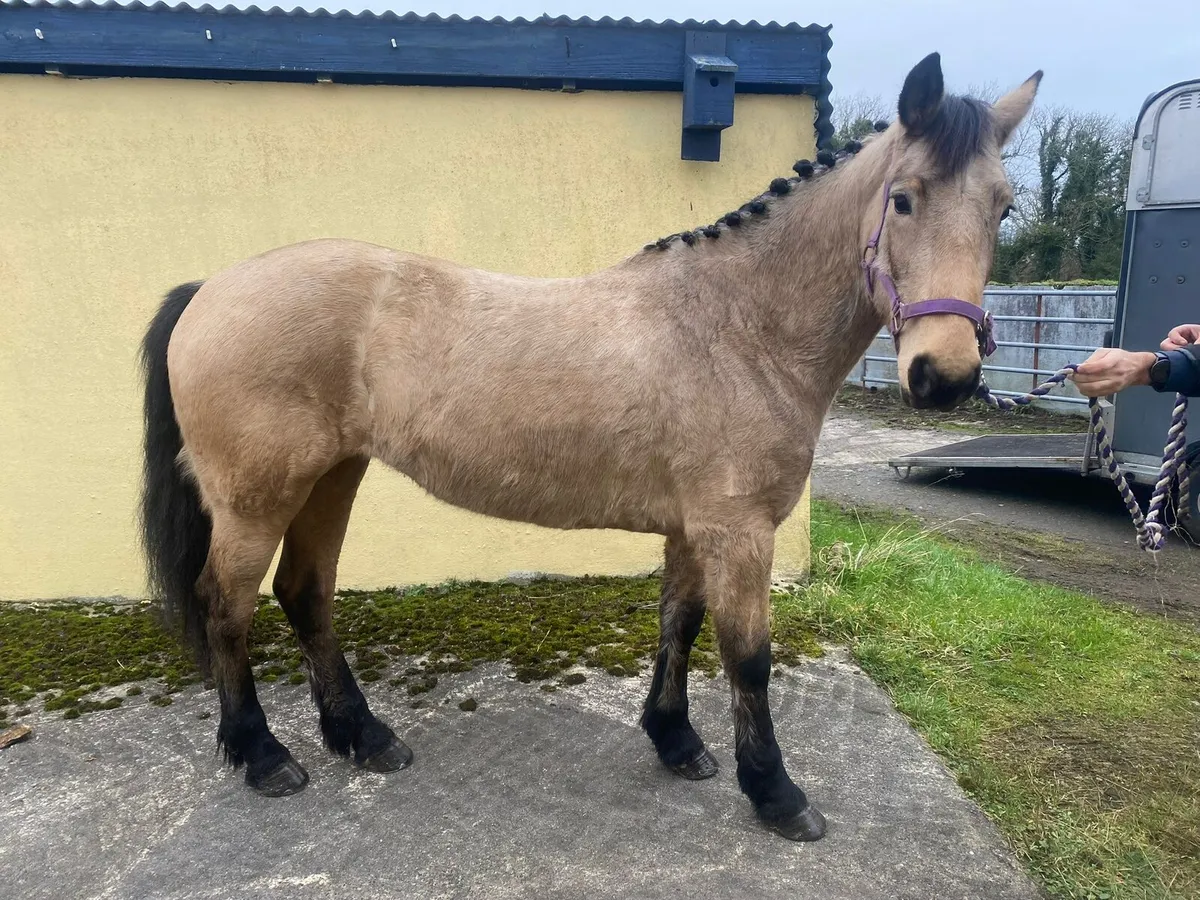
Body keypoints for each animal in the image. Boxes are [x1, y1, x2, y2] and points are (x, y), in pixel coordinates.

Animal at [138, 52, 1040, 842]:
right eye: (904, 200)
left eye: (1002, 207)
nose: (945, 376)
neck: (738, 326)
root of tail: (211, 289)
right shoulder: (739, 532)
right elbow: (748, 658)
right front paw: (777, 794)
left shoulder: (696, 529)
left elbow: (680, 624)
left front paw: (676, 741)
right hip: (258, 497)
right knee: (227, 606)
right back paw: (263, 755)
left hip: (333, 474)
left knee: (306, 594)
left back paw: (364, 736)